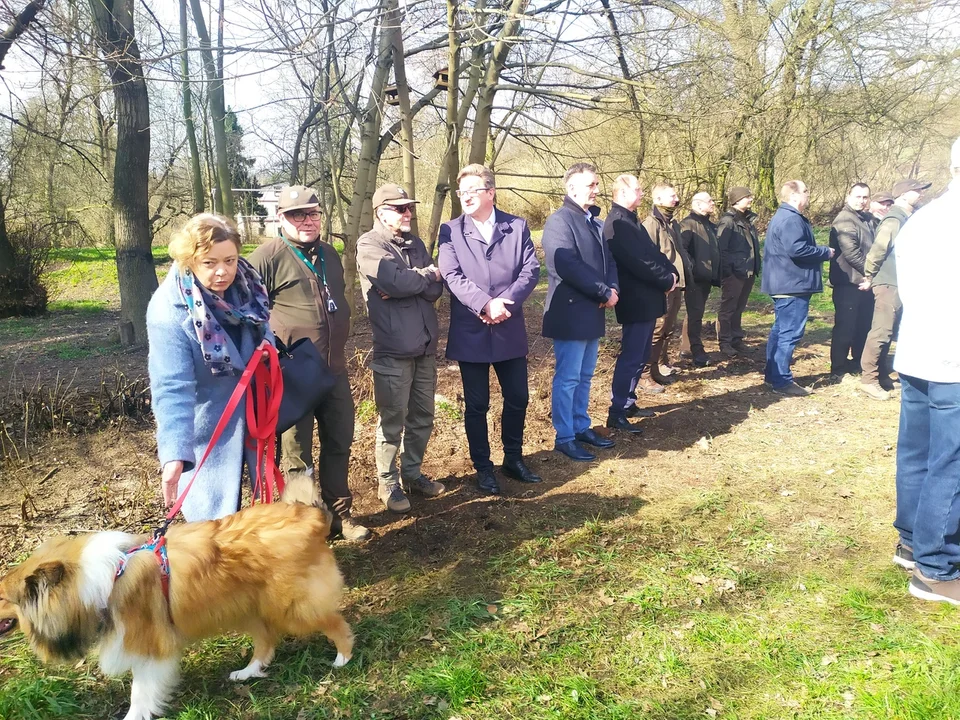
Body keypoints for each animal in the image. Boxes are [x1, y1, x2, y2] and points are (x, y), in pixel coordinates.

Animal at [0, 476, 354, 720]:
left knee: (336, 624)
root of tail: (310, 517)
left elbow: (140, 693)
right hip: (247, 608)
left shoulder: (149, 647)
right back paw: (247, 672)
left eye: (2, 595)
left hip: (292, 607)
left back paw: (342, 659)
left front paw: (135, 715)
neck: (95, 584)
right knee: (266, 642)